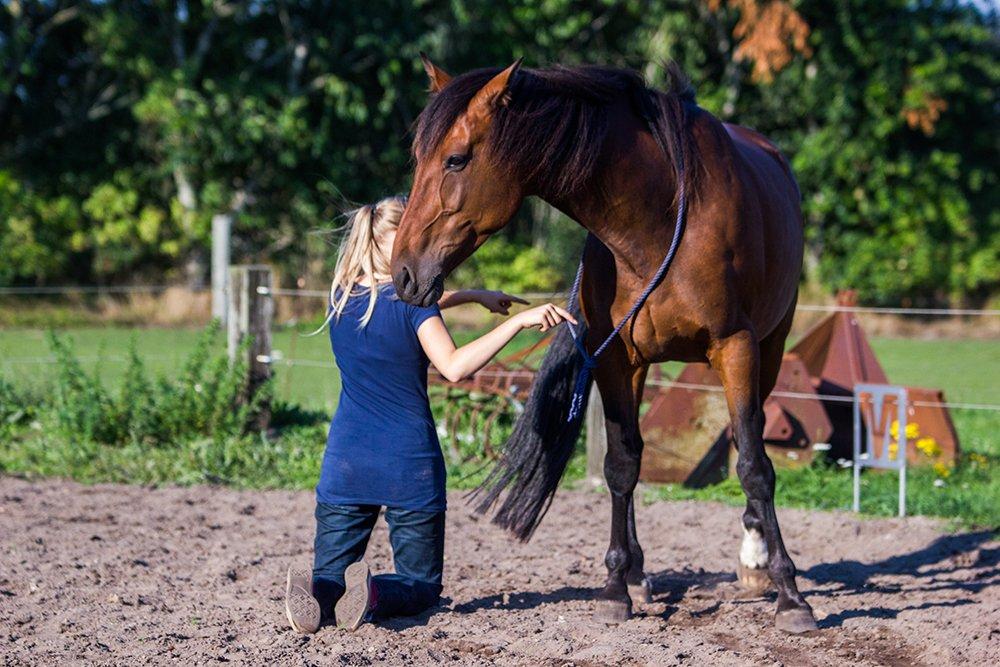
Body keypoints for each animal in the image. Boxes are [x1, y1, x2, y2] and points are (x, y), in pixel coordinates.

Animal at [386, 56, 816, 632]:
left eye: (455, 159)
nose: (404, 274)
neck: (658, 221)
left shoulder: (737, 348)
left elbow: (754, 464)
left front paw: (790, 593)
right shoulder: (616, 358)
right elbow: (621, 464)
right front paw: (615, 586)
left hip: (770, 348)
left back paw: (756, 559)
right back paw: (638, 573)